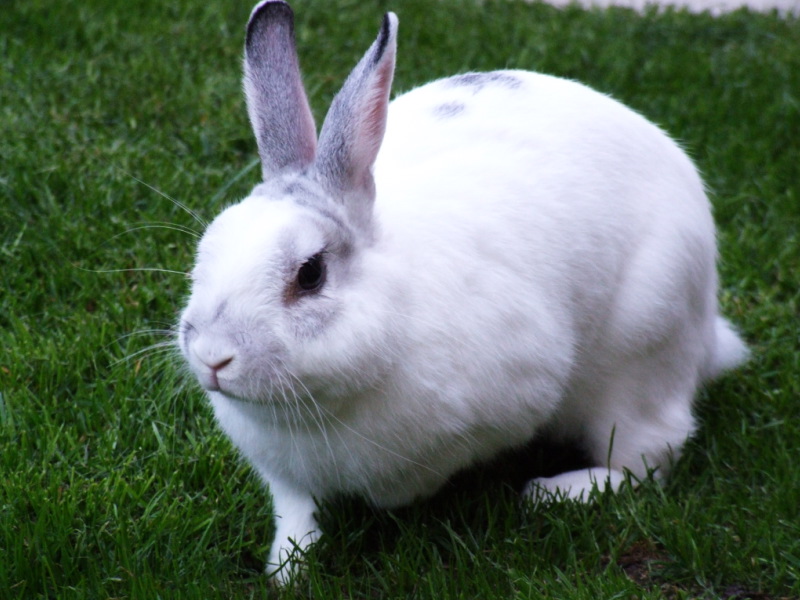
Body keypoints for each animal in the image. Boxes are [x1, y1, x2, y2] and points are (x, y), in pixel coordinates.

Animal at [177, 0, 749, 584]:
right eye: (208, 247)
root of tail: (707, 331)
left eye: (310, 273)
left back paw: (554, 491)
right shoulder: (284, 474)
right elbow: (296, 515)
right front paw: (286, 572)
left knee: (648, 456)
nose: (213, 357)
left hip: (642, 359)